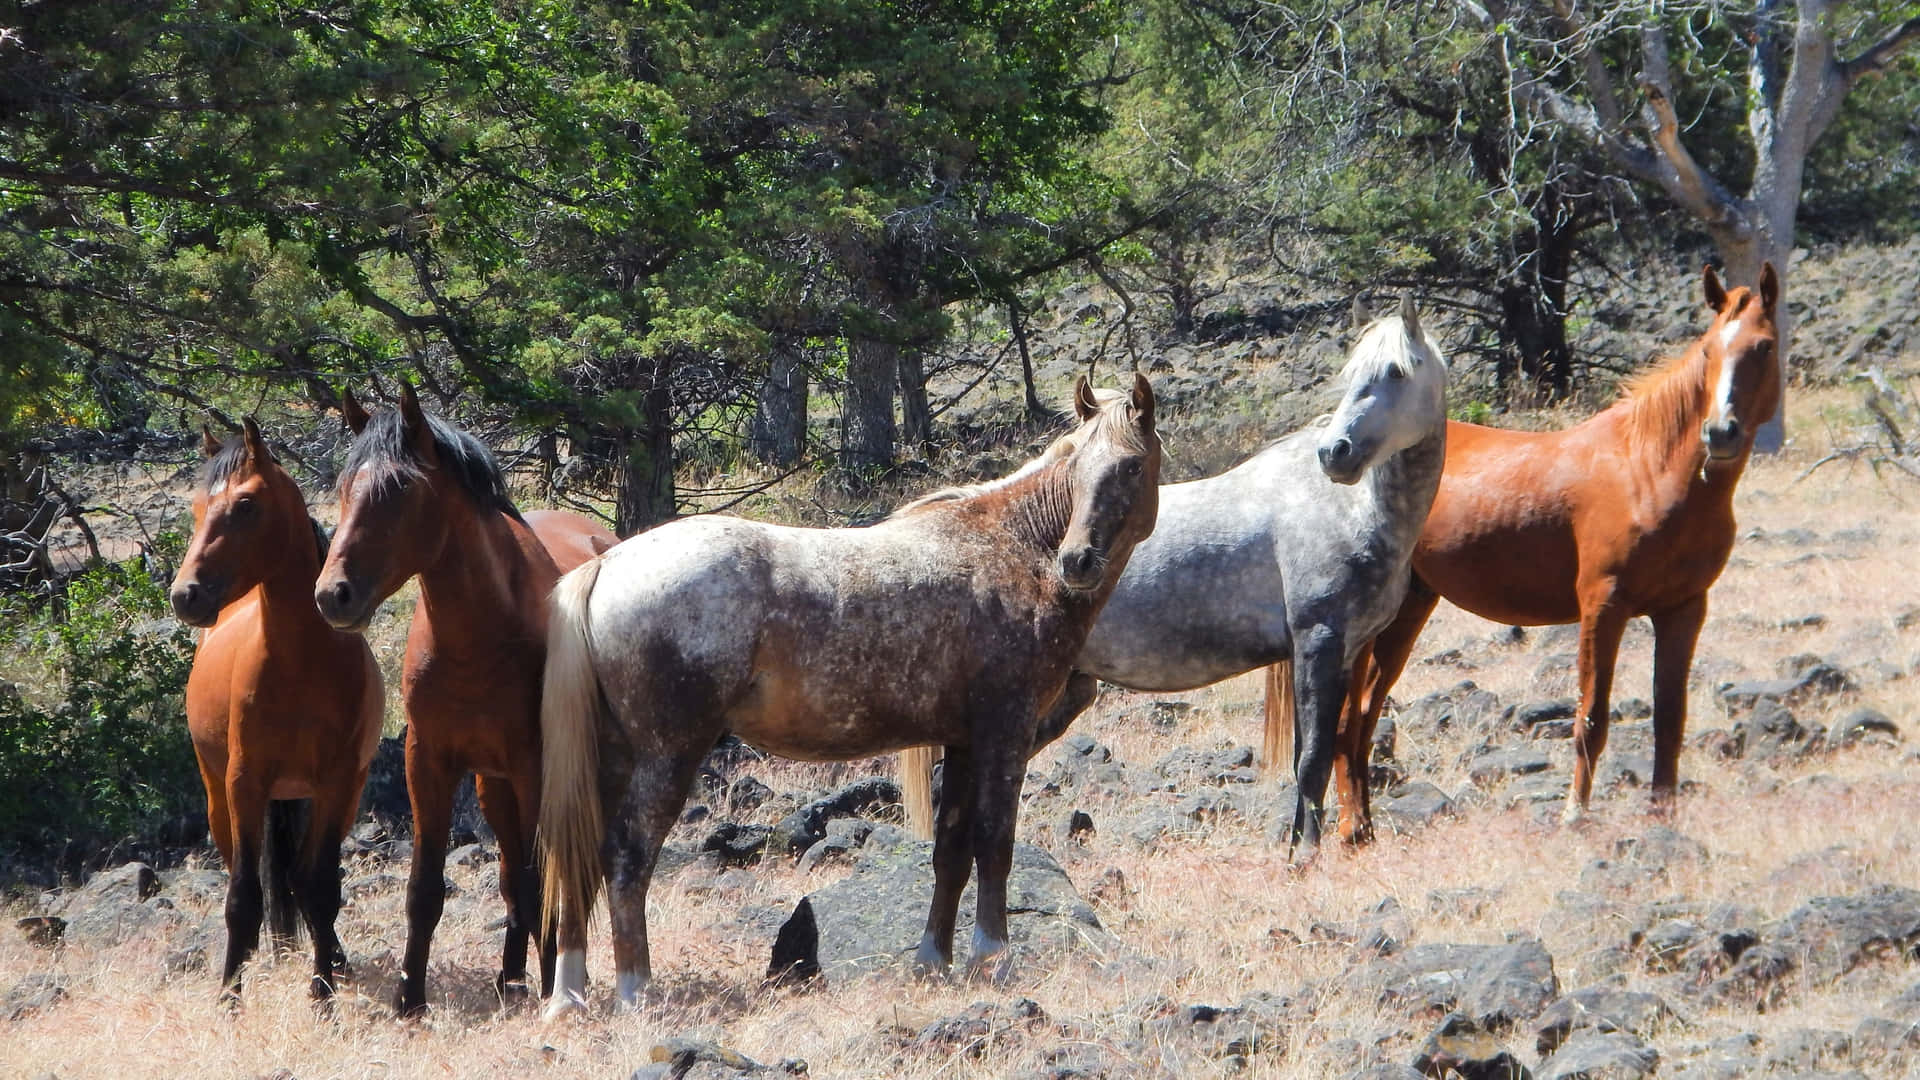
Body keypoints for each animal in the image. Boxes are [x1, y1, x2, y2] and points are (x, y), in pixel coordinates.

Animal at [168, 419, 383, 1004]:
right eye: (197, 506)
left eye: (246, 506)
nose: (185, 595)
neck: (300, 665)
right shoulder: (245, 783)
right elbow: (244, 898)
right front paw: (229, 998)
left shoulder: (336, 784)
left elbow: (321, 890)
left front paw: (324, 996)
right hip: (218, 793)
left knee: (304, 882)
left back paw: (334, 960)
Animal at [312, 385, 618, 1017]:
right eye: (345, 488)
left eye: (400, 491)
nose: (333, 595)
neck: (479, 637)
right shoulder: (428, 761)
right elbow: (426, 887)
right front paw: (410, 998)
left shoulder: (534, 764)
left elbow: (539, 876)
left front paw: (553, 989)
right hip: (492, 784)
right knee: (511, 877)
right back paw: (509, 977)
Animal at [537, 375, 1160, 1018]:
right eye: (1078, 465)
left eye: (1131, 465)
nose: (1077, 561)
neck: (1013, 549)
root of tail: (607, 563)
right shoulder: (1003, 736)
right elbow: (994, 842)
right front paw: (993, 957)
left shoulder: (962, 743)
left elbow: (951, 850)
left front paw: (933, 960)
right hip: (667, 756)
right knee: (627, 857)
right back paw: (635, 989)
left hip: (611, 759)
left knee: (580, 858)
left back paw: (569, 994)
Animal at [900, 296, 1448, 855]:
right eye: (1352, 374)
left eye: (1396, 372)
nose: (1336, 454)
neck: (1348, 507)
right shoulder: (1318, 643)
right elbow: (1313, 758)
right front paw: (1305, 855)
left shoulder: (1348, 650)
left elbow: (1335, 746)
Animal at [1264, 263, 1783, 843]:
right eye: (1708, 352)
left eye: (1763, 347)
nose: (1720, 432)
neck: (1649, 472)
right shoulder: (1603, 607)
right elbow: (1591, 716)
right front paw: (1575, 814)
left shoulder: (1684, 610)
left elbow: (1670, 718)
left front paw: (1661, 817)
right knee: (1347, 720)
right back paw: (1352, 828)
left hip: (1409, 610)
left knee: (1362, 718)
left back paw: (1365, 828)